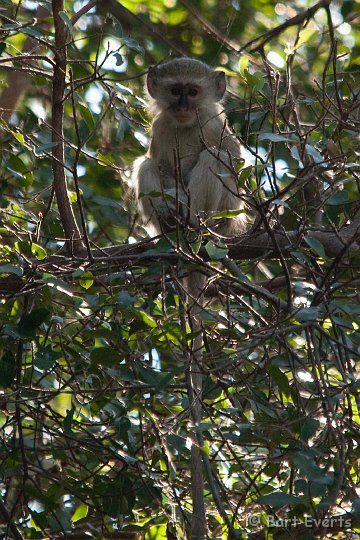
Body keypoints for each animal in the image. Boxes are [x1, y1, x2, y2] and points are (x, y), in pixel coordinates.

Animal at [134, 56, 246, 237]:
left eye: (193, 92)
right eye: (175, 91)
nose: (182, 107)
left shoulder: (212, 123)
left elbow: (236, 165)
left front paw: (180, 199)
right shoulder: (159, 125)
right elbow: (161, 165)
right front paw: (170, 202)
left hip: (226, 212)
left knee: (213, 158)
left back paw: (195, 222)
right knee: (146, 164)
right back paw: (169, 223)